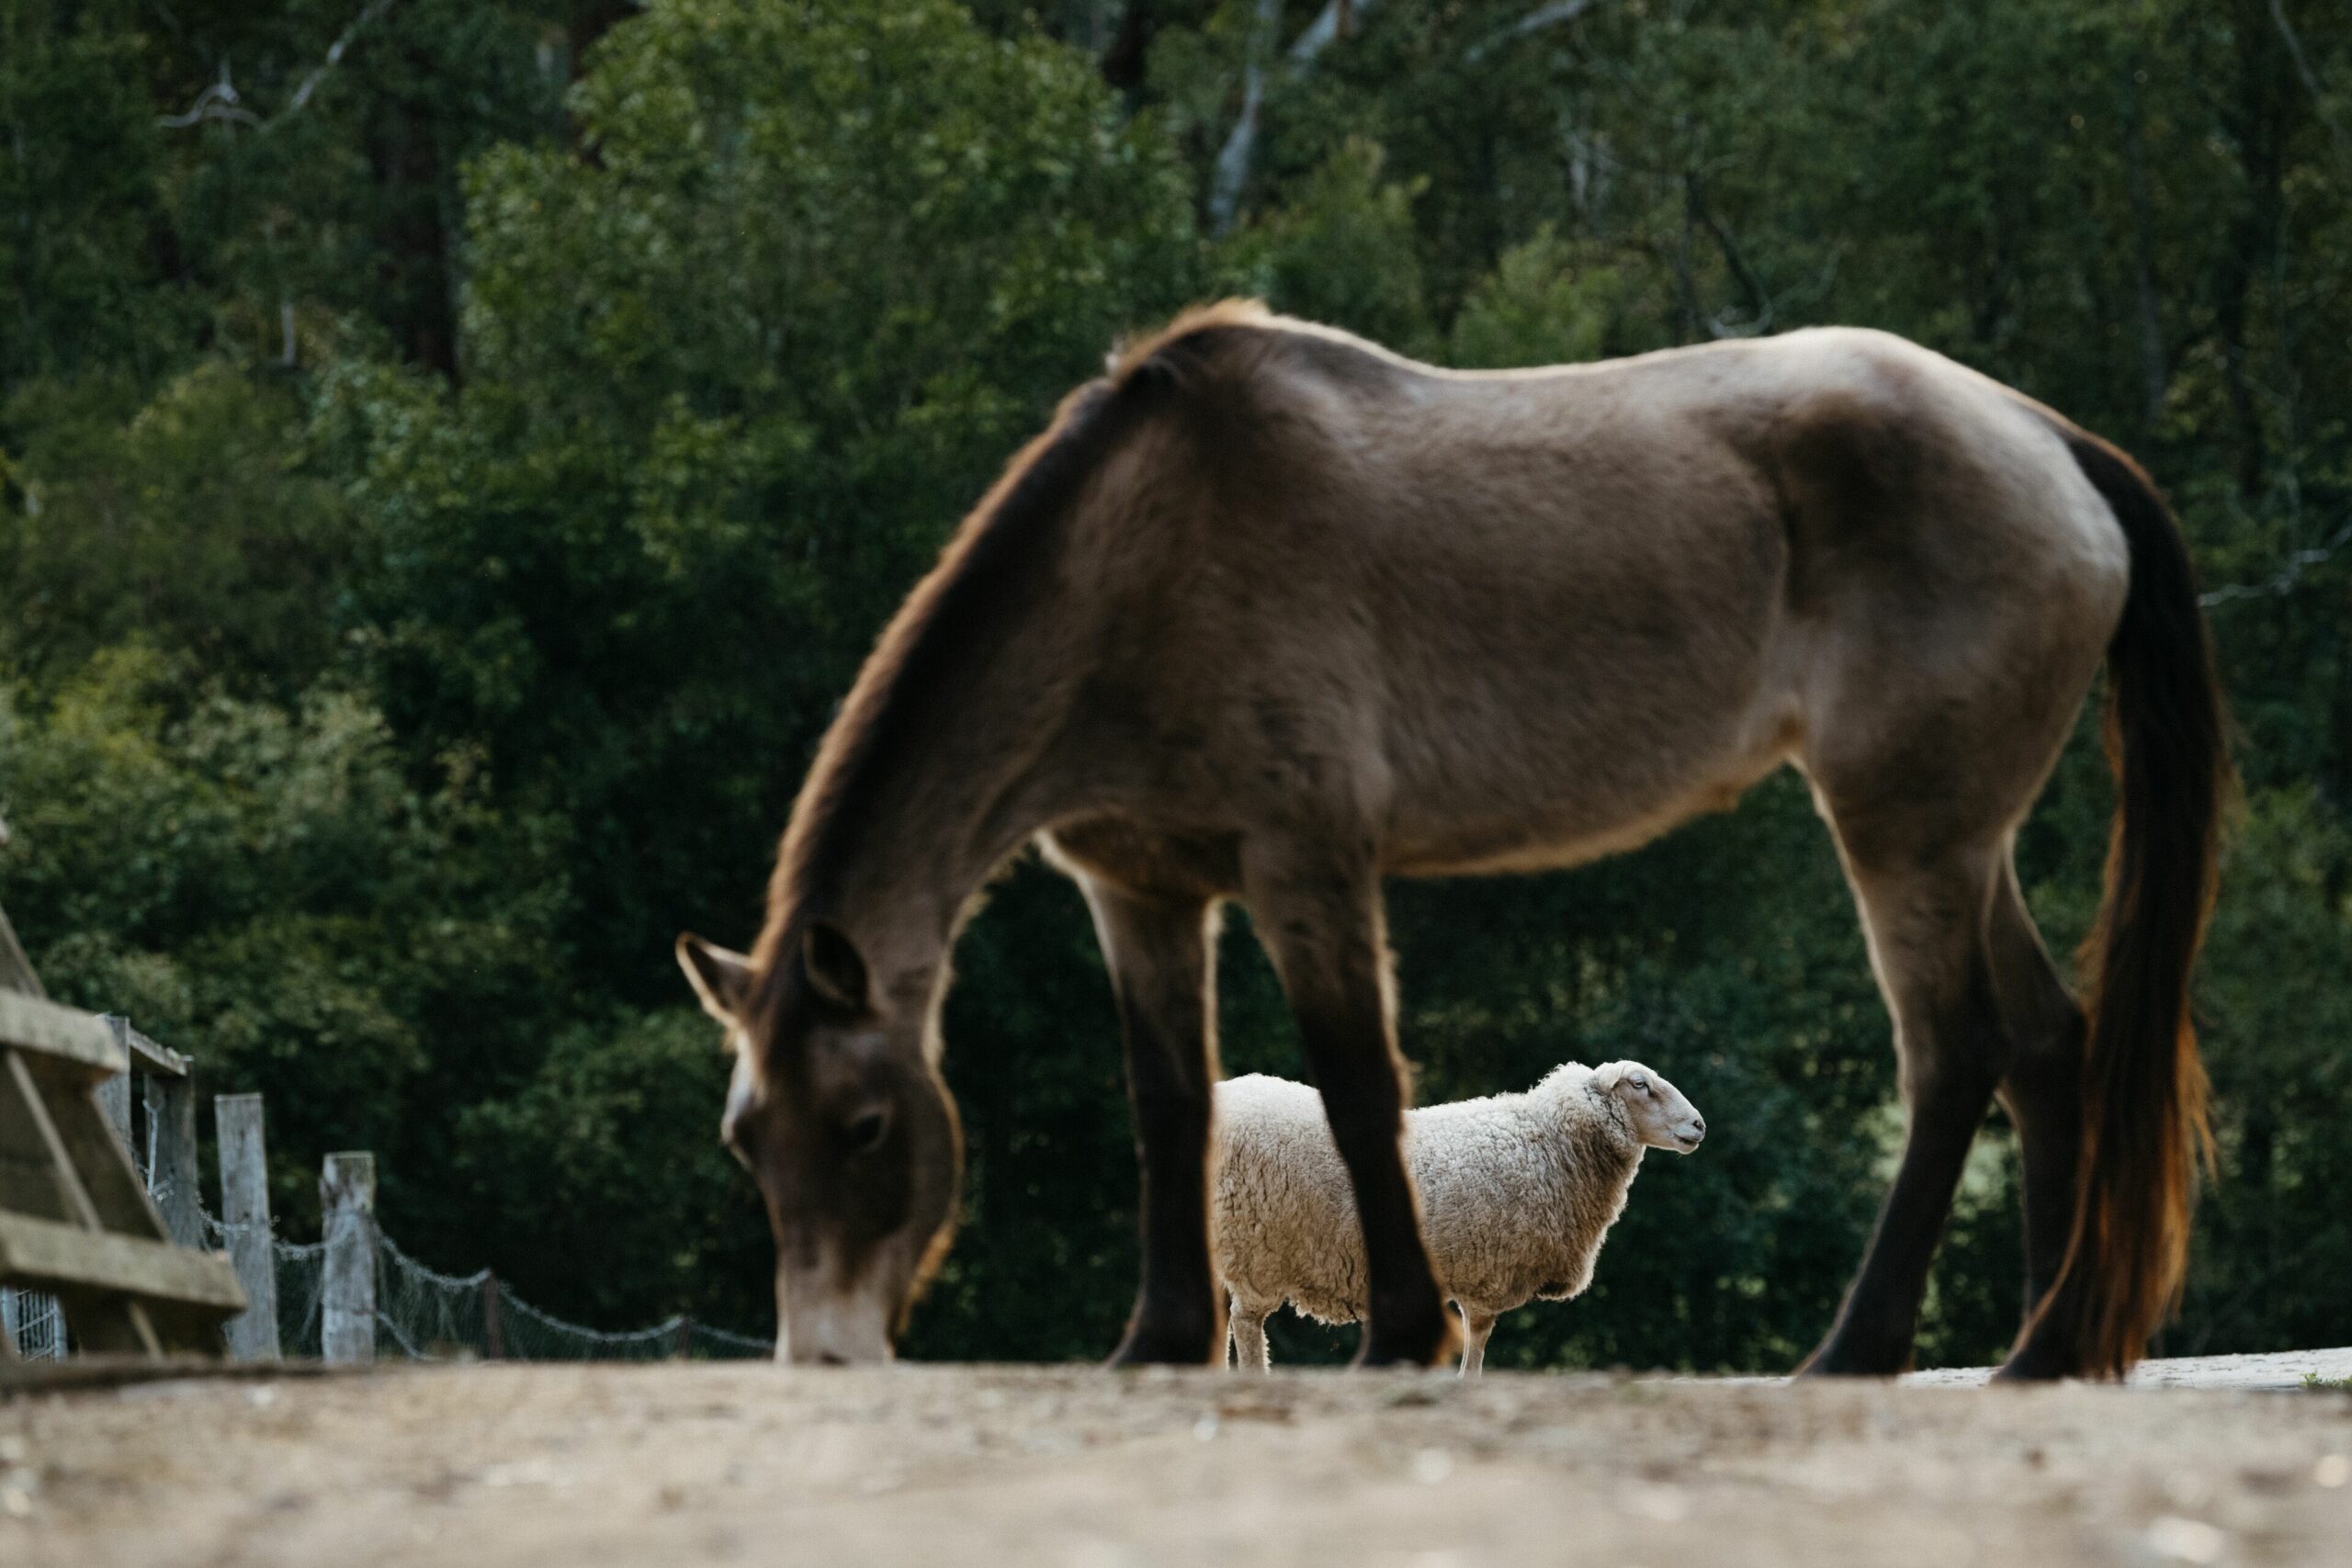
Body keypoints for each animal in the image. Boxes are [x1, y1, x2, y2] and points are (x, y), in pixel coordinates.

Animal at [1213, 1053, 1712, 1372]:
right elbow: (1478, 1343)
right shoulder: (1486, 1274)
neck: (1549, 1142)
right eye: (1640, 1085)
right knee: (1247, 1322)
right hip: (1256, 1243)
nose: (1699, 1125)